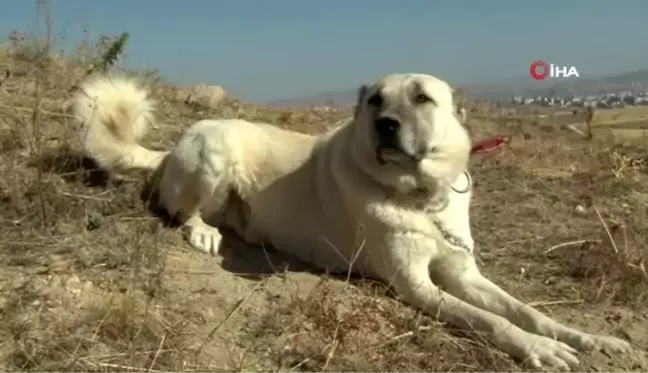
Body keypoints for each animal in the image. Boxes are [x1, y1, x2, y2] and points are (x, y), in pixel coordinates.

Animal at [72, 72, 632, 370]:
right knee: (182, 211)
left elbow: (523, 310)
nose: (385, 125)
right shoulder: (417, 286)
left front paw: (583, 338)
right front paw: (539, 349)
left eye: (423, 98)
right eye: (375, 100)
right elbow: (490, 320)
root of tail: (171, 149)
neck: (418, 196)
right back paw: (206, 231)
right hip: (214, 150)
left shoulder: (464, 273)